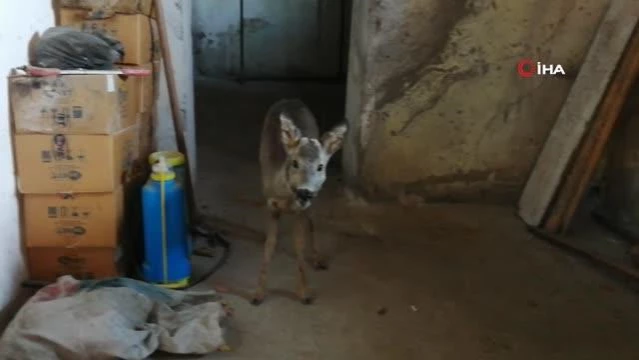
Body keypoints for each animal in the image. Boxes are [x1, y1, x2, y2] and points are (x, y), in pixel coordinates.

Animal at [251, 99, 350, 306]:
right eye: (295, 163)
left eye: (320, 166)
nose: (305, 192)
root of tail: (291, 100)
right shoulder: (270, 206)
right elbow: (269, 245)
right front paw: (258, 293)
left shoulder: (301, 211)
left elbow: (299, 246)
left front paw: (304, 293)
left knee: (312, 222)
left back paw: (318, 258)